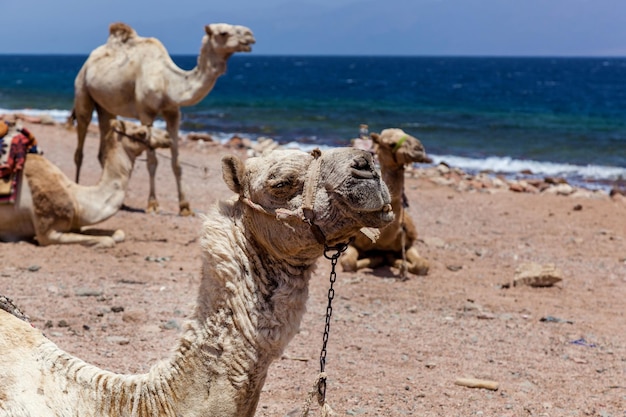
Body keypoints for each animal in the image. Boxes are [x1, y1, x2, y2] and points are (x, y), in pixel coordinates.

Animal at [0, 117, 171, 247]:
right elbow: (107, 241)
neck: (77, 198)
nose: (168, 136)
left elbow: (118, 233)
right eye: (141, 133)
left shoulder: (76, 223)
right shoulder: (47, 233)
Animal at [68, 20, 254, 214]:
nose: (250, 35)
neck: (167, 82)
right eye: (223, 33)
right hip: (82, 91)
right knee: (80, 143)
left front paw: (185, 206)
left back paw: (119, 201)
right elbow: (152, 162)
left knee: (104, 143)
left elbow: (176, 163)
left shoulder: (173, 112)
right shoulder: (145, 113)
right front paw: (152, 204)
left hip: (106, 107)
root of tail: (88, 62)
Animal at [338, 127, 432, 276]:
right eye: (391, 144)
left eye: (406, 132)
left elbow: (422, 265)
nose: (418, 148)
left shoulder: (408, 243)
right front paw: (378, 258)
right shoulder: (354, 242)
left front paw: (398, 262)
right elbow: (348, 263)